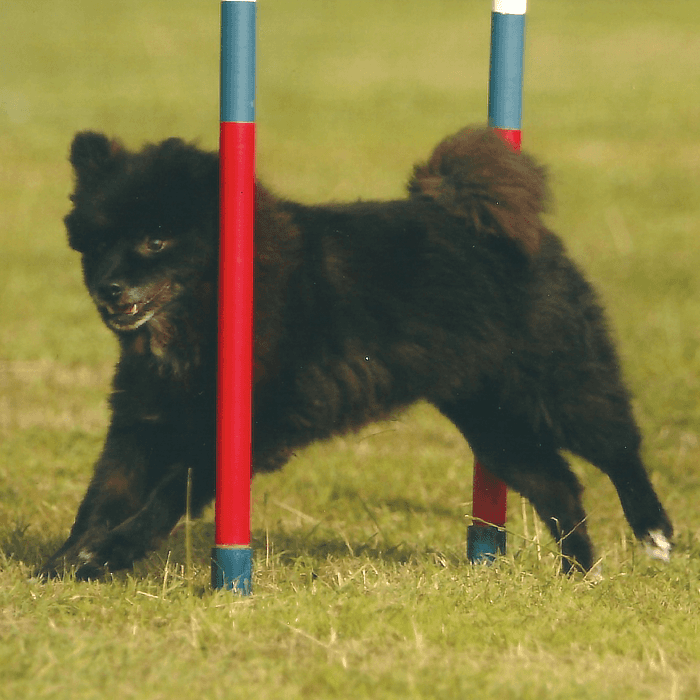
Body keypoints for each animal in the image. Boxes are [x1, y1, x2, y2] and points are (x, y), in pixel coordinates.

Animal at [39, 129, 672, 576]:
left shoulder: (245, 426)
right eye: (97, 242)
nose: (108, 288)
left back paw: (654, 532)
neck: (204, 315)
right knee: (558, 484)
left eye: (155, 240)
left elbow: (171, 491)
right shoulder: (142, 421)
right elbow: (103, 496)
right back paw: (577, 573)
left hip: (556, 388)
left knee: (619, 450)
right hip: (493, 424)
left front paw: (112, 552)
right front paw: (67, 563)